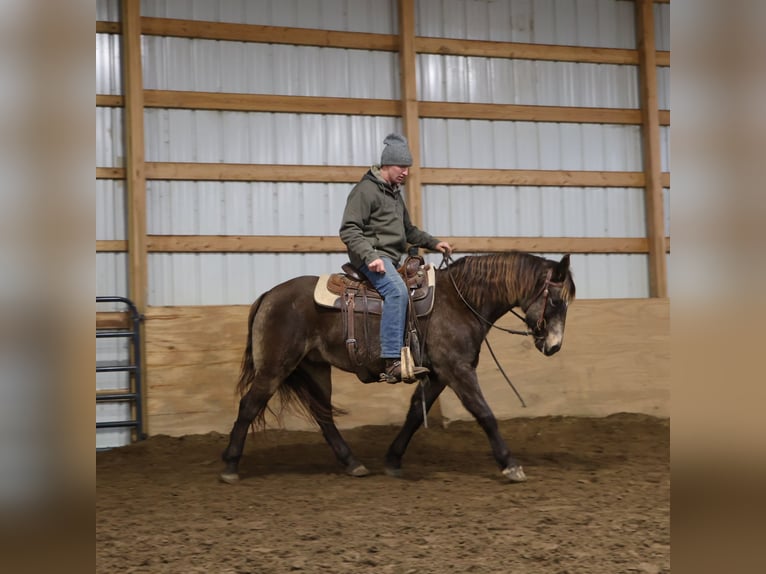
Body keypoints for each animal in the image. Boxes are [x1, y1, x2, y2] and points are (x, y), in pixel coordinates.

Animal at [220, 251, 575, 483]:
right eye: (557, 301)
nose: (555, 346)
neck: (460, 301)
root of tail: (269, 294)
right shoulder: (457, 370)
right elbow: (484, 413)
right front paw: (510, 464)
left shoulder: (438, 375)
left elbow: (415, 414)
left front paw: (393, 459)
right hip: (275, 367)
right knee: (249, 406)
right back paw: (230, 466)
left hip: (316, 368)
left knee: (324, 417)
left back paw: (352, 463)